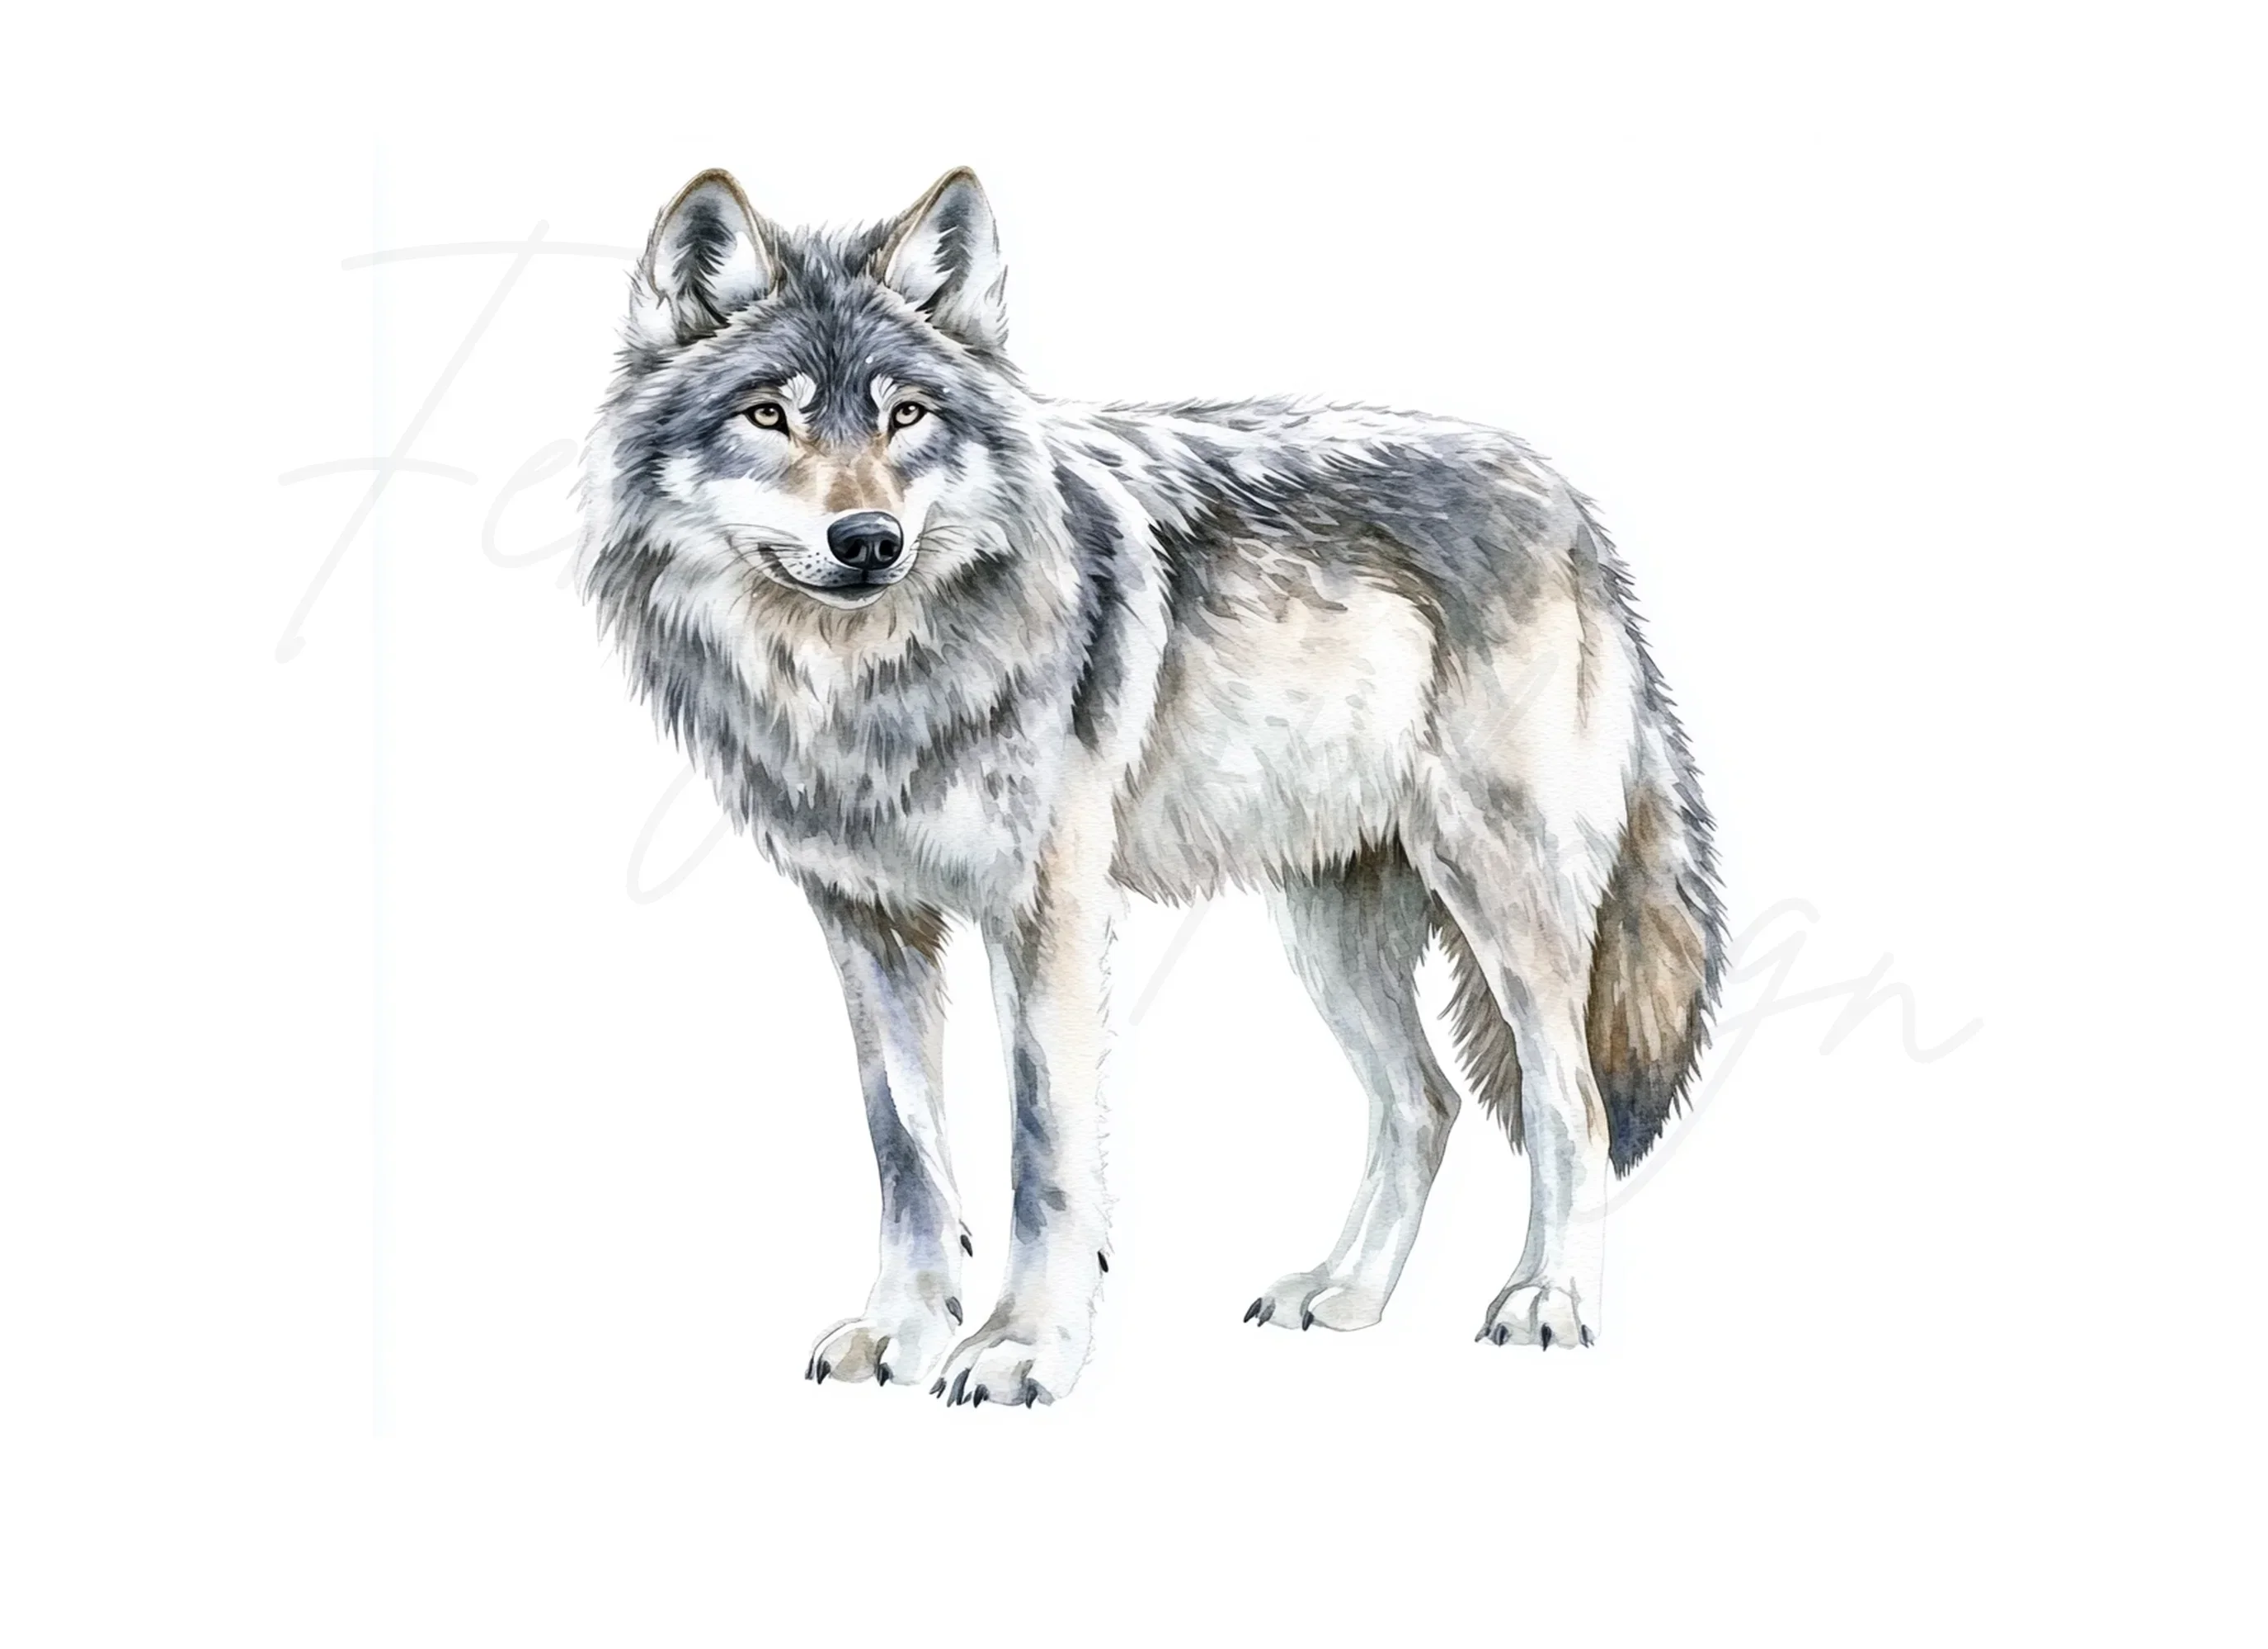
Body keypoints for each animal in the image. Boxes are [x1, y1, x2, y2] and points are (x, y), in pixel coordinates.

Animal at [577, 168, 1724, 1407]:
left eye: (906, 416)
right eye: (767, 416)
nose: (868, 538)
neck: (863, 683)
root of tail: (1568, 506)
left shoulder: (1047, 913)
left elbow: (1043, 1150)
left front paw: (1023, 1347)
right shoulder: (865, 919)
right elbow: (905, 1148)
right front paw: (901, 1331)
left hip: (1502, 899)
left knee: (1572, 1105)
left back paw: (1546, 1301)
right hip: (1325, 926)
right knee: (1424, 1100)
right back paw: (1344, 1293)